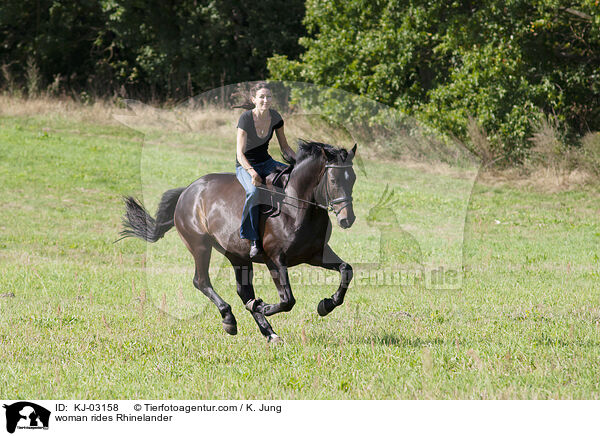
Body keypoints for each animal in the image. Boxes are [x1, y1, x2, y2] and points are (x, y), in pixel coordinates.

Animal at [121, 141, 356, 342]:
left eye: (352, 178)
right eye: (333, 180)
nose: (348, 219)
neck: (296, 206)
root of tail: (188, 190)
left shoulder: (315, 254)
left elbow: (346, 270)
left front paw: (326, 305)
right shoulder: (275, 259)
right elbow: (287, 300)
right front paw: (262, 306)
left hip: (237, 255)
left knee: (244, 291)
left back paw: (269, 332)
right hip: (200, 246)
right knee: (202, 281)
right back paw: (230, 319)